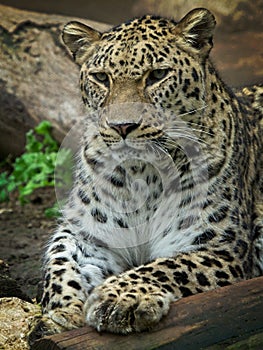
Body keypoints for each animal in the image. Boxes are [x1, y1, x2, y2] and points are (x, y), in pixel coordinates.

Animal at [27, 7, 262, 344]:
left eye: (157, 75)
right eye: (101, 78)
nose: (122, 126)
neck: (142, 175)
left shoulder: (221, 246)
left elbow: (167, 266)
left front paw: (118, 299)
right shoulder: (86, 233)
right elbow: (61, 263)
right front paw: (61, 315)